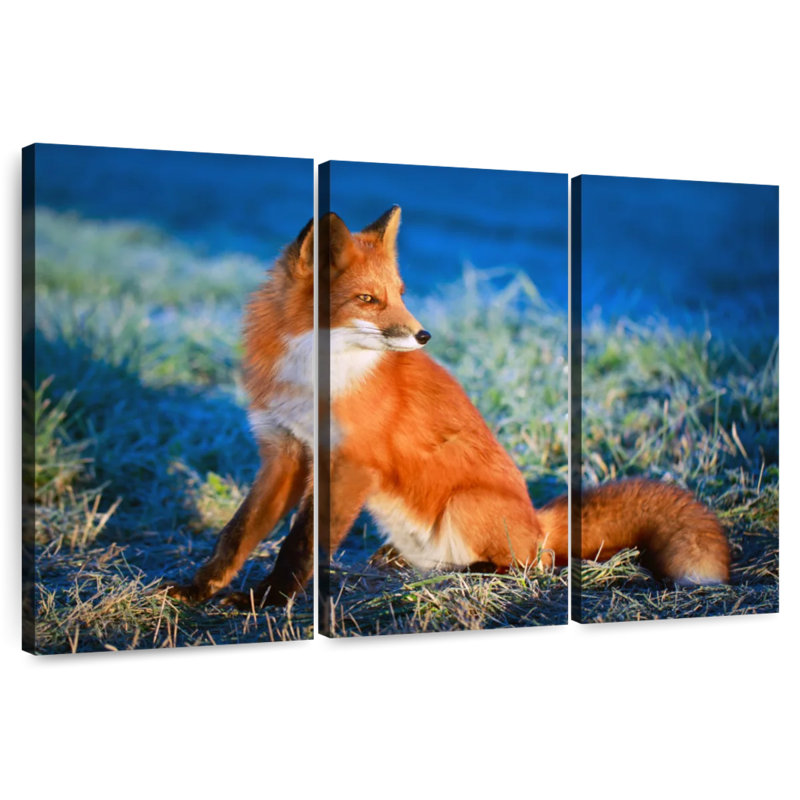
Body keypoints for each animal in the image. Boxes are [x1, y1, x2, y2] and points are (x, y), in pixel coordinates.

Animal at [167, 205, 730, 610]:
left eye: (400, 293)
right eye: (368, 300)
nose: (423, 336)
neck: (311, 374)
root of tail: (536, 520)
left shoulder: (349, 463)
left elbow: (300, 546)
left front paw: (266, 602)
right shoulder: (285, 453)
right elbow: (236, 534)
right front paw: (200, 590)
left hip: (465, 505)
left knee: (535, 564)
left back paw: (473, 573)